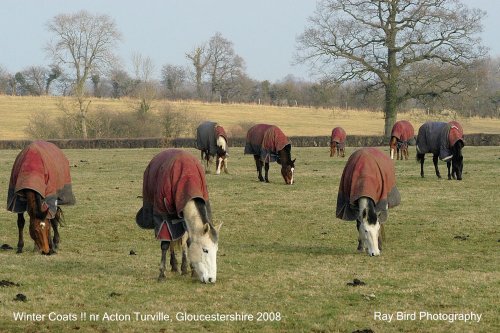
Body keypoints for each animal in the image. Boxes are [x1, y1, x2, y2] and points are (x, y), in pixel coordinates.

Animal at [137, 148, 223, 282]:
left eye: (216, 250)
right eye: (205, 250)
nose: (211, 279)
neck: (186, 179)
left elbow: (187, 241)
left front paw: (191, 270)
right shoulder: (164, 218)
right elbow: (165, 243)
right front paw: (162, 273)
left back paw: (182, 267)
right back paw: (174, 265)